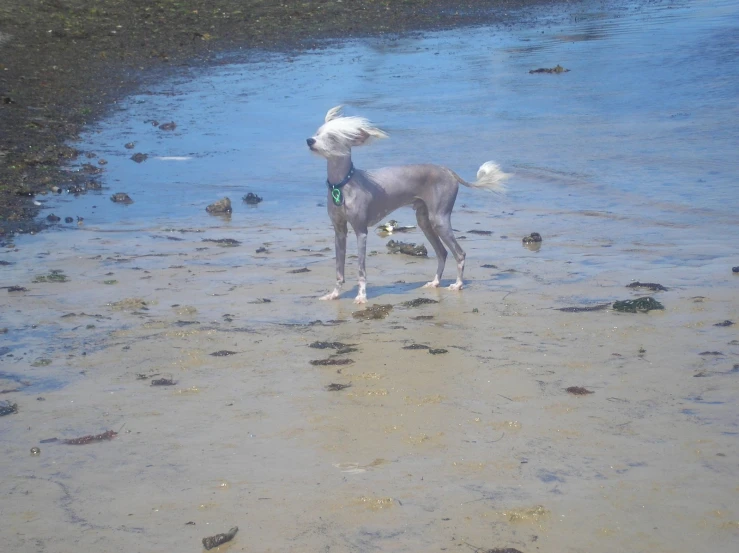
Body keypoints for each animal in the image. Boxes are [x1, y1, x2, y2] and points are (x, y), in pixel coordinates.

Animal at [306, 105, 508, 304]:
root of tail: (448, 171)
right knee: (442, 252)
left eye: (332, 137)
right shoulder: (339, 231)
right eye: (317, 133)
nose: (309, 140)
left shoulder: (361, 231)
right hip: (425, 221)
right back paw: (435, 282)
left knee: (459, 253)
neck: (343, 184)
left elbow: (361, 269)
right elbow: (339, 269)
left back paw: (458, 285)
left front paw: (361, 296)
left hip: (439, 219)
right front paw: (334, 294)